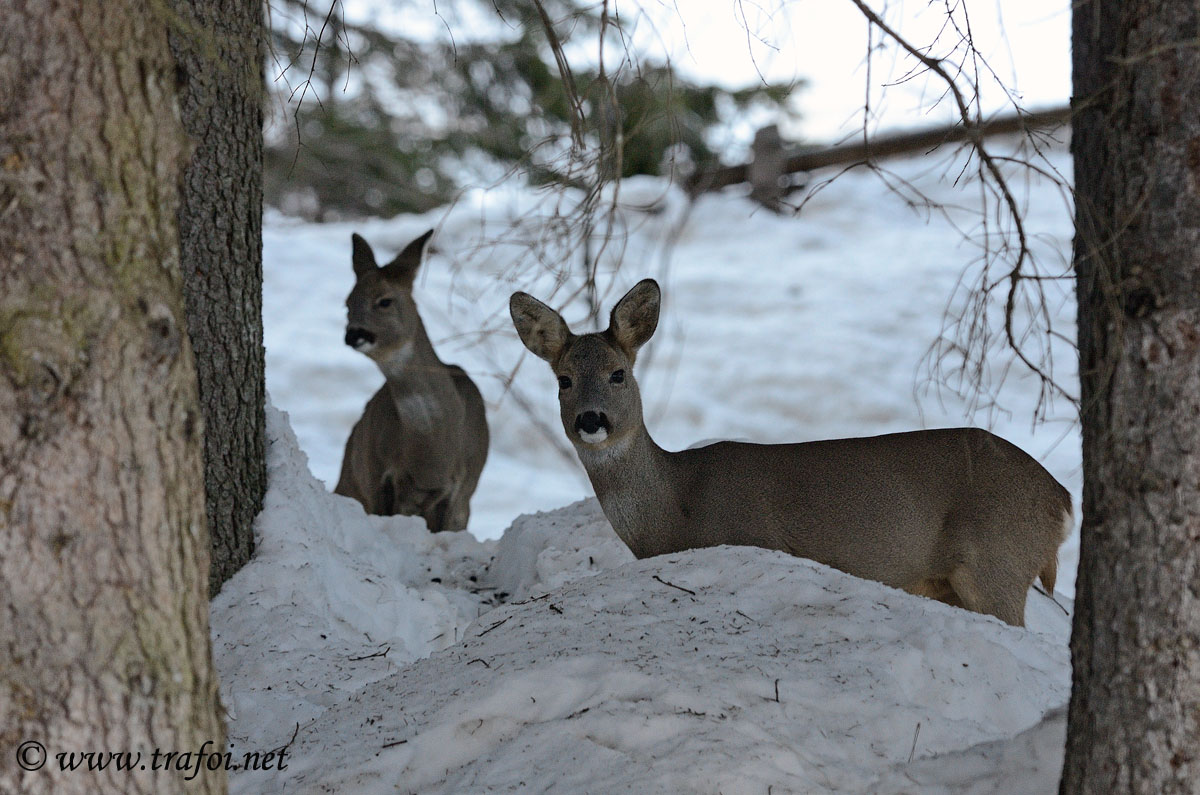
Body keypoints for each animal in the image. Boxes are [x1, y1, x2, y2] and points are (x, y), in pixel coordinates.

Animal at [511, 279, 1075, 629]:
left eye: (618, 373)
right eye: (563, 380)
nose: (591, 421)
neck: (675, 512)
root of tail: (1062, 499)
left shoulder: (749, 534)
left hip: (996, 557)